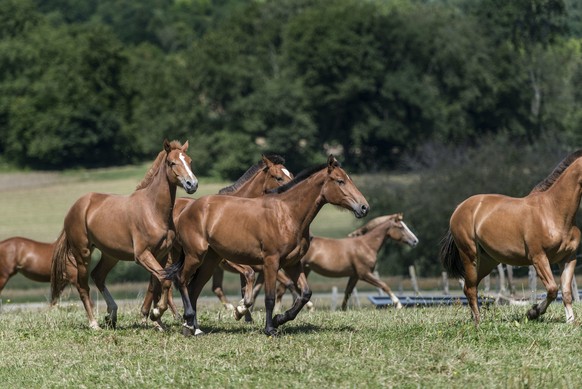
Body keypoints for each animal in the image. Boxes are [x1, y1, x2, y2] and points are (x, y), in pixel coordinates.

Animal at [50, 139, 197, 328]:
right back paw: (94, 323)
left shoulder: (162, 255)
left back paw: (111, 315)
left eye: (190, 161)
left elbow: (156, 284)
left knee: (98, 276)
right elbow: (164, 281)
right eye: (172, 163)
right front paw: (156, 314)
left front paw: (157, 321)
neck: (153, 211)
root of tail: (76, 207)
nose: (192, 184)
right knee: (83, 286)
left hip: (111, 255)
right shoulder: (142, 255)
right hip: (83, 253)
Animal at [140, 154, 294, 322]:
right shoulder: (228, 259)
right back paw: (162, 313)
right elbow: (249, 274)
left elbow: (246, 284)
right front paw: (239, 310)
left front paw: (245, 314)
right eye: (278, 177)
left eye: (291, 175)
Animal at [162, 156, 368, 334]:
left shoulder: (292, 263)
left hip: (210, 261)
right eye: (340, 181)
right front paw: (270, 328)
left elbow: (305, 293)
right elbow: (268, 298)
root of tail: (188, 209)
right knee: (181, 280)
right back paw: (187, 322)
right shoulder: (270, 262)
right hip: (195, 255)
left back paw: (194, 328)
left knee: (194, 288)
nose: (364, 207)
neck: (287, 214)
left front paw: (279, 319)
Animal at [278, 212, 420, 310]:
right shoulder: (364, 274)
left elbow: (348, 293)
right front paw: (398, 304)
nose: (415, 241)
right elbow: (384, 285)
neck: (367, 245)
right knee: (284, 288)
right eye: (401, 227)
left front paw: (343, 310)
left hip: (305, 270)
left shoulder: (354, 276)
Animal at [442, 150, 582, 322]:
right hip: (469, 255)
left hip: (488, 261)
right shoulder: (539, 258)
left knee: (470, 287)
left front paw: (570, 321)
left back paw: (475, 317)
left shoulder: (568, 258)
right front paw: (532, 312)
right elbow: (552, 289)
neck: (553, 212)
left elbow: (567, 293)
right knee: (470, 288)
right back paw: (478, 322)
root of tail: (459, 208)